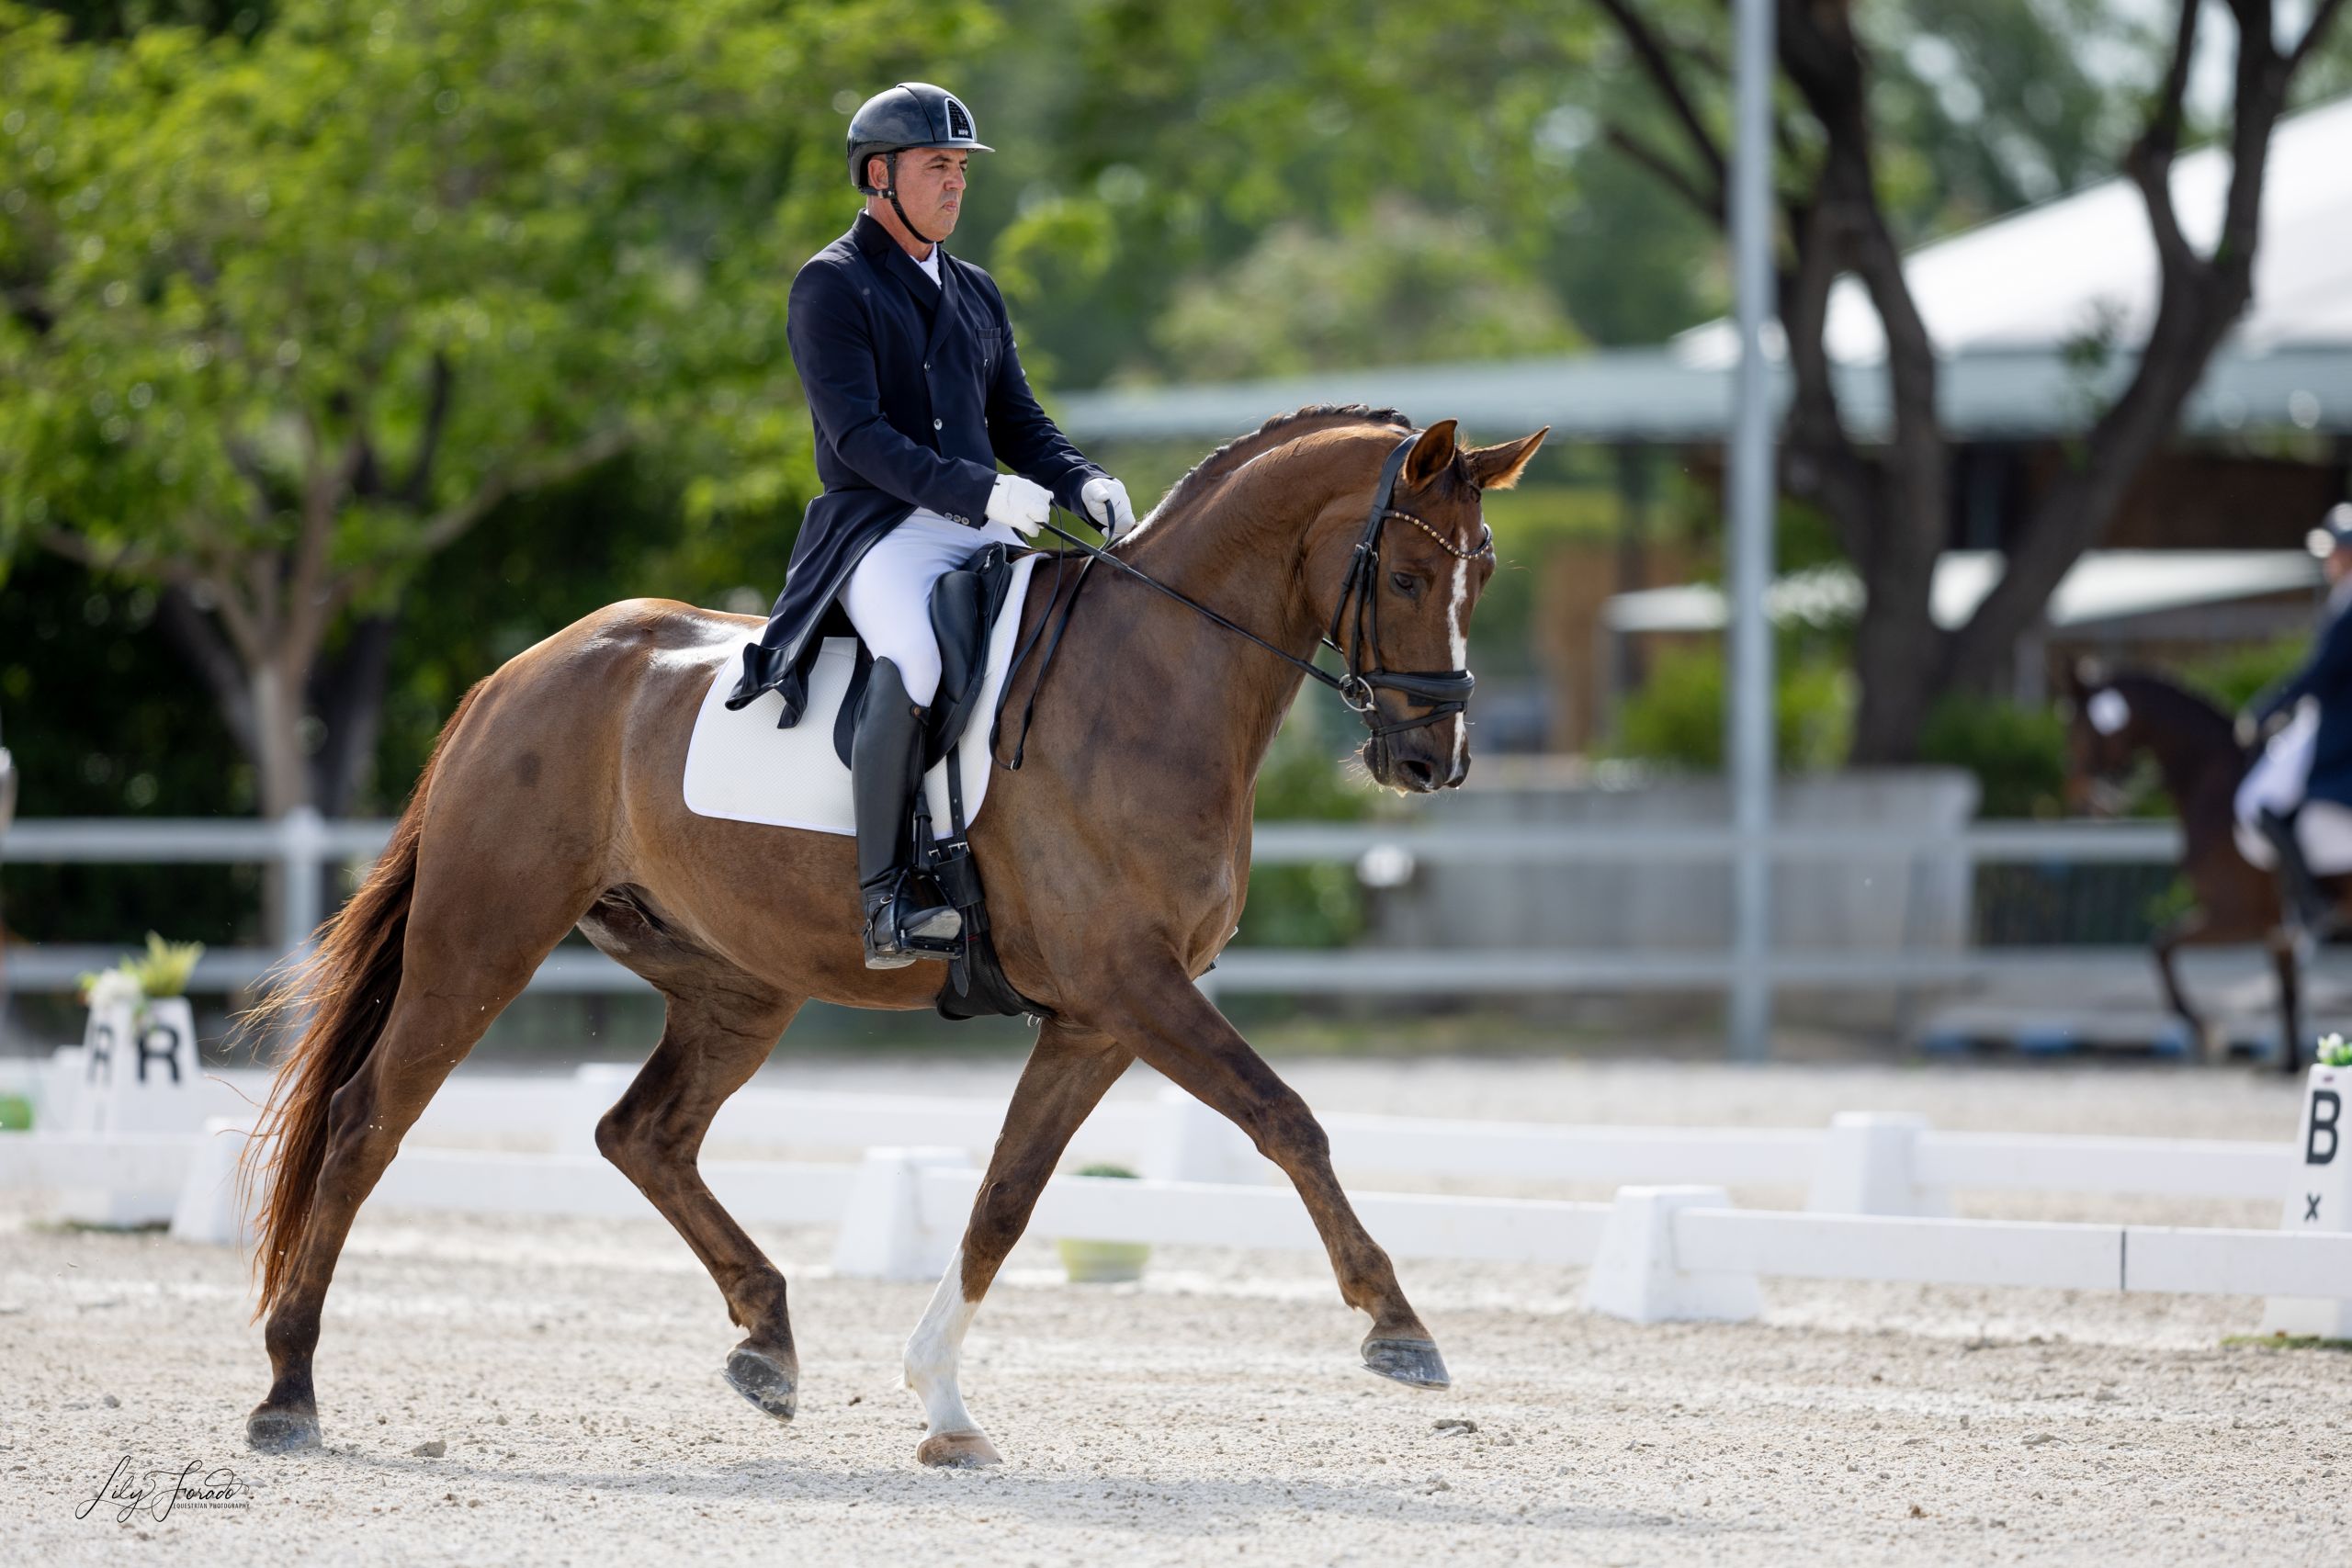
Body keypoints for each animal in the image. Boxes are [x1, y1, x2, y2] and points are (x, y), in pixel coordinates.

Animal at [238, 404, 1552, 1476]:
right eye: (1405, 573)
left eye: (1482, 571)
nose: (1432, 762)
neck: (1151, 683)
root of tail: (520, 673)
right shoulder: (1135, 988)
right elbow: (1287, 1118)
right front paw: (1398, 1328)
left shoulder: (1097, 1017)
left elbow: (1004, 1199)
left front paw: (945, 1408)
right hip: (483, 939)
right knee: (365, 1123)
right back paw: (288, 1395)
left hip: (737, 983)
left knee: (641, 1133)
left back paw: (766, 1346)